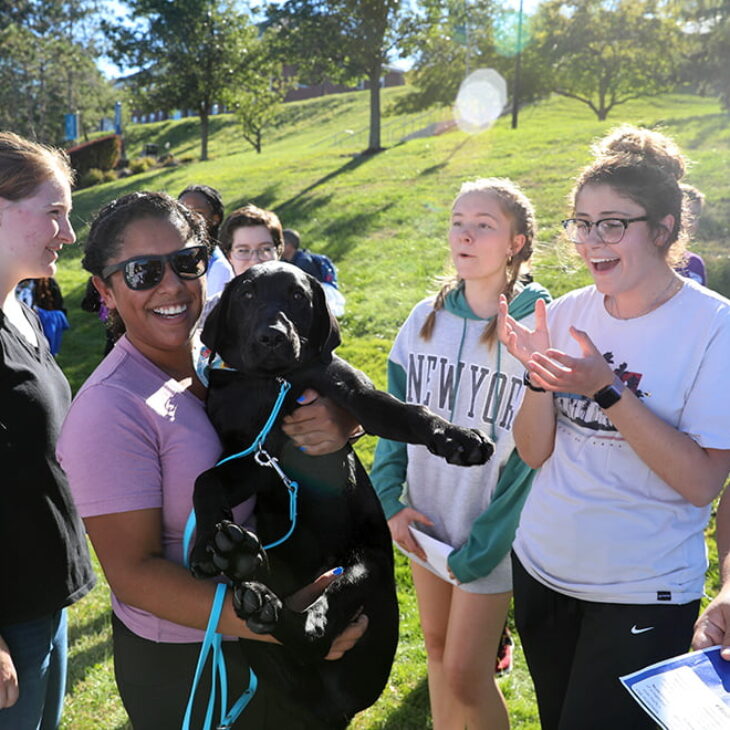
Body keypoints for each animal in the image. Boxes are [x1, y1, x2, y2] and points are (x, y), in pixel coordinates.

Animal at [191, 262, 492, 728]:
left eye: (298, 296)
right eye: (246, 295)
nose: (273, 337)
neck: (275, 383)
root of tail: (335, 705)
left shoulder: (352, 394)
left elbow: (410, 413)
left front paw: (457, 438)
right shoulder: (247, 456)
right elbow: (206, 480)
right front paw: (208, 540)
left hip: (364, 568)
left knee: (314, 631)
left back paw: (257, 595)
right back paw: (241, 563)